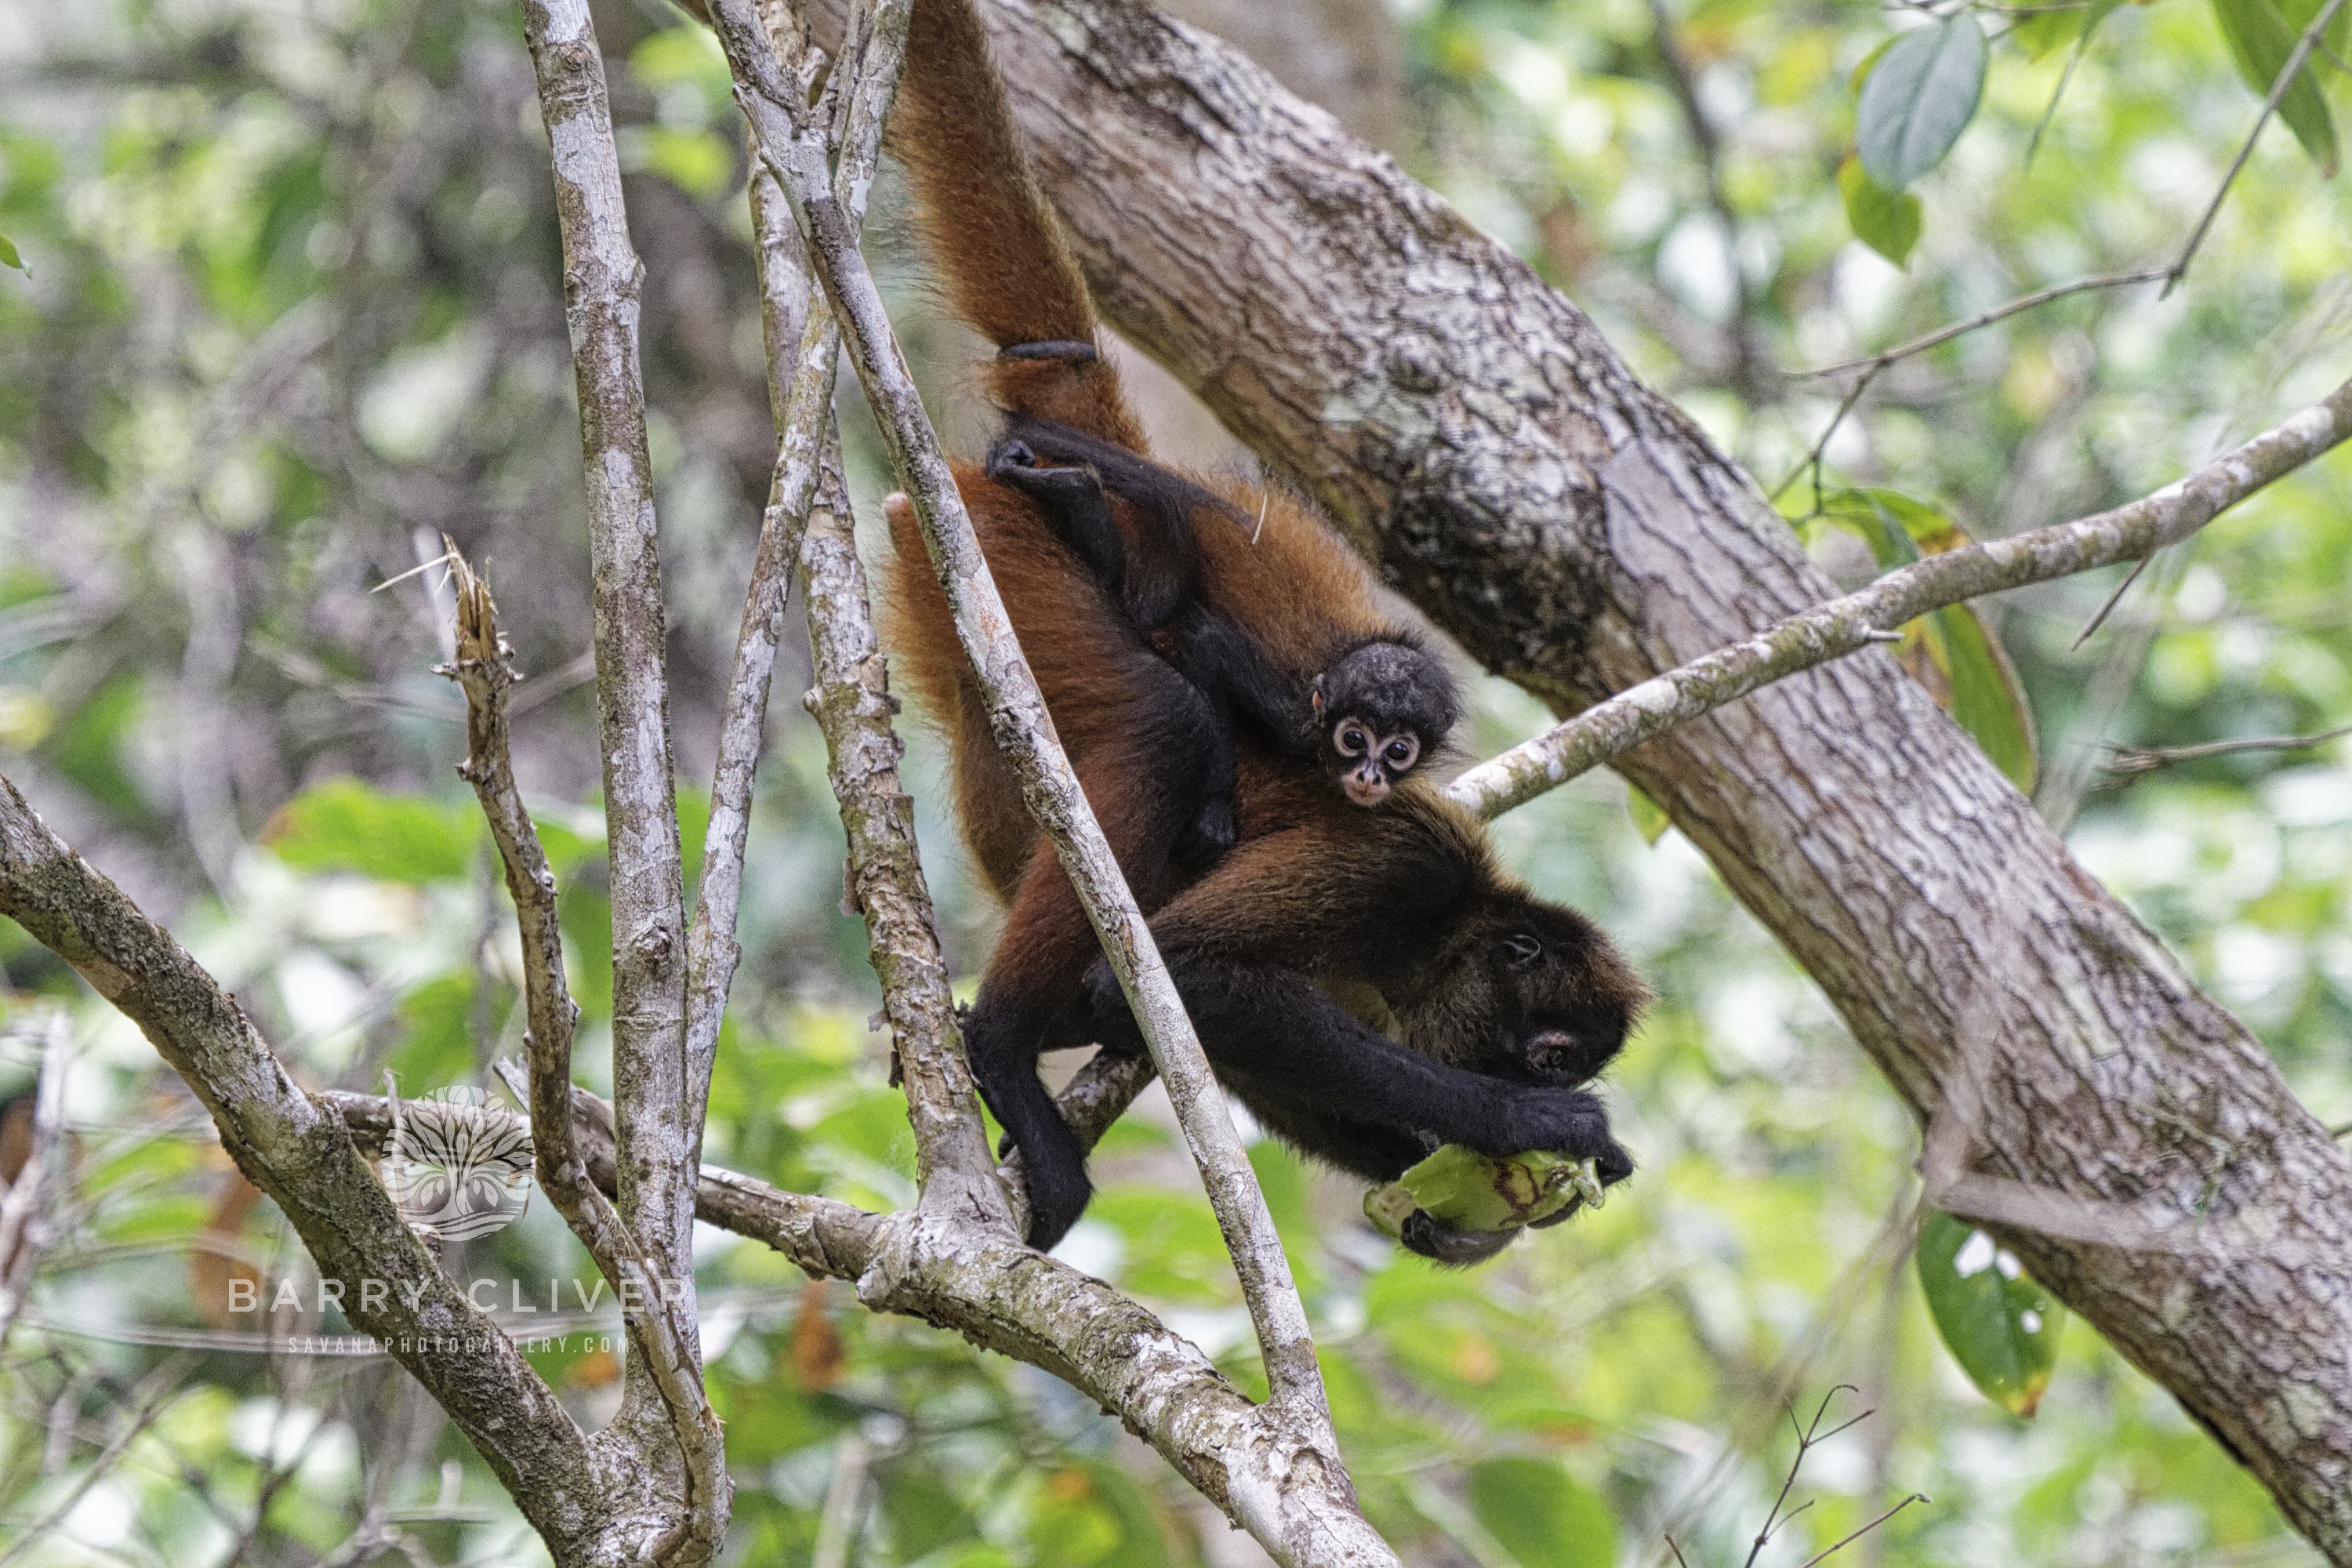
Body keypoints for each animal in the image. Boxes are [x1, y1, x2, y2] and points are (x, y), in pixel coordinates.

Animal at [879, 0, 1647, 1257]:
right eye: (1544, 1055)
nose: (1540, 1080)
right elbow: (1190, 979)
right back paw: (1002, 1038)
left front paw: (1458, 1198)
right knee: (1162, 722)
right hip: (993, 547)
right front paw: (1536, 1128)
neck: (1449, 930)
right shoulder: (1400, 868)